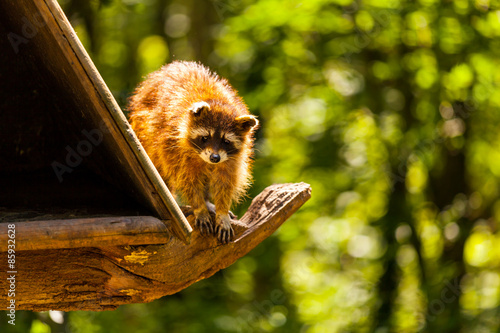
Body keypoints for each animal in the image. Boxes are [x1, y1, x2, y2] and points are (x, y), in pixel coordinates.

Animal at [127, 61, 260, 243]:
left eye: (226, 141)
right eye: (205, 137)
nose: (214, 157)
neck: (217, 101)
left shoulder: (232, 159)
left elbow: (225, 182)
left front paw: (222, 212)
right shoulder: (173, 146)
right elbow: (188, 180)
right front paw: (199, 207)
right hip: (145, 133)